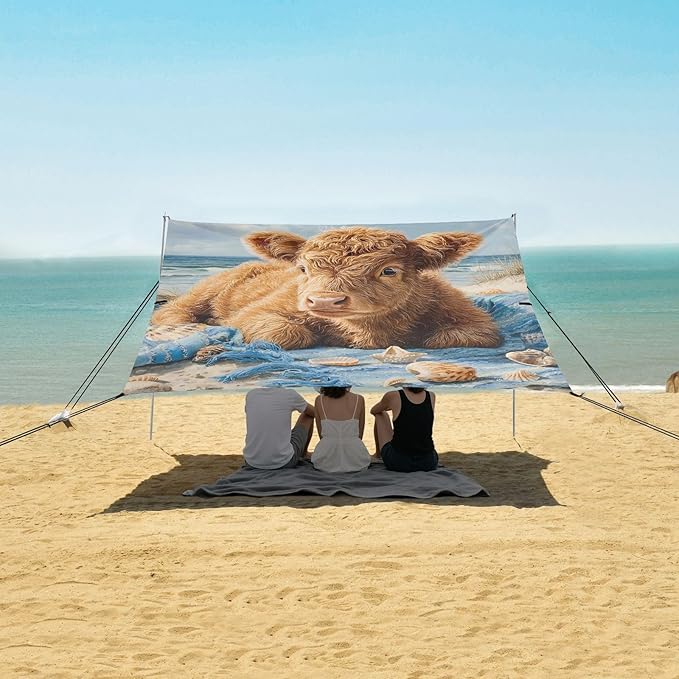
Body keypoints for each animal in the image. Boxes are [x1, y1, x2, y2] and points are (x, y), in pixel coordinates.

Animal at [151, 227, 501, 349]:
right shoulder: (256, 313)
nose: (323, 300)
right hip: (208, 289)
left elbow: (457, 336)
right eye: (303, 269)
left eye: (389, 270)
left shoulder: (473, 319)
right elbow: (287, 333)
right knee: (174, 311)